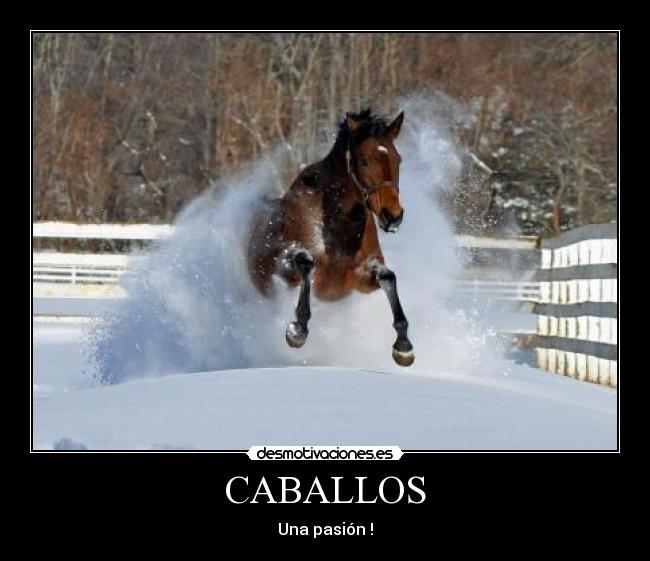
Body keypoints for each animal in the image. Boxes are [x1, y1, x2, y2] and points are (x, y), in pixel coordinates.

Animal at [247, 108, 414, 366]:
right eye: (363, 161)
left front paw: (404, 347)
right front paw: (297, 330)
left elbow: (389, 278)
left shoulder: (359, 277)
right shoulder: (287, 267)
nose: (393, 216)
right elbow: (306, 263)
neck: (336, 223)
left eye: (398, 159)